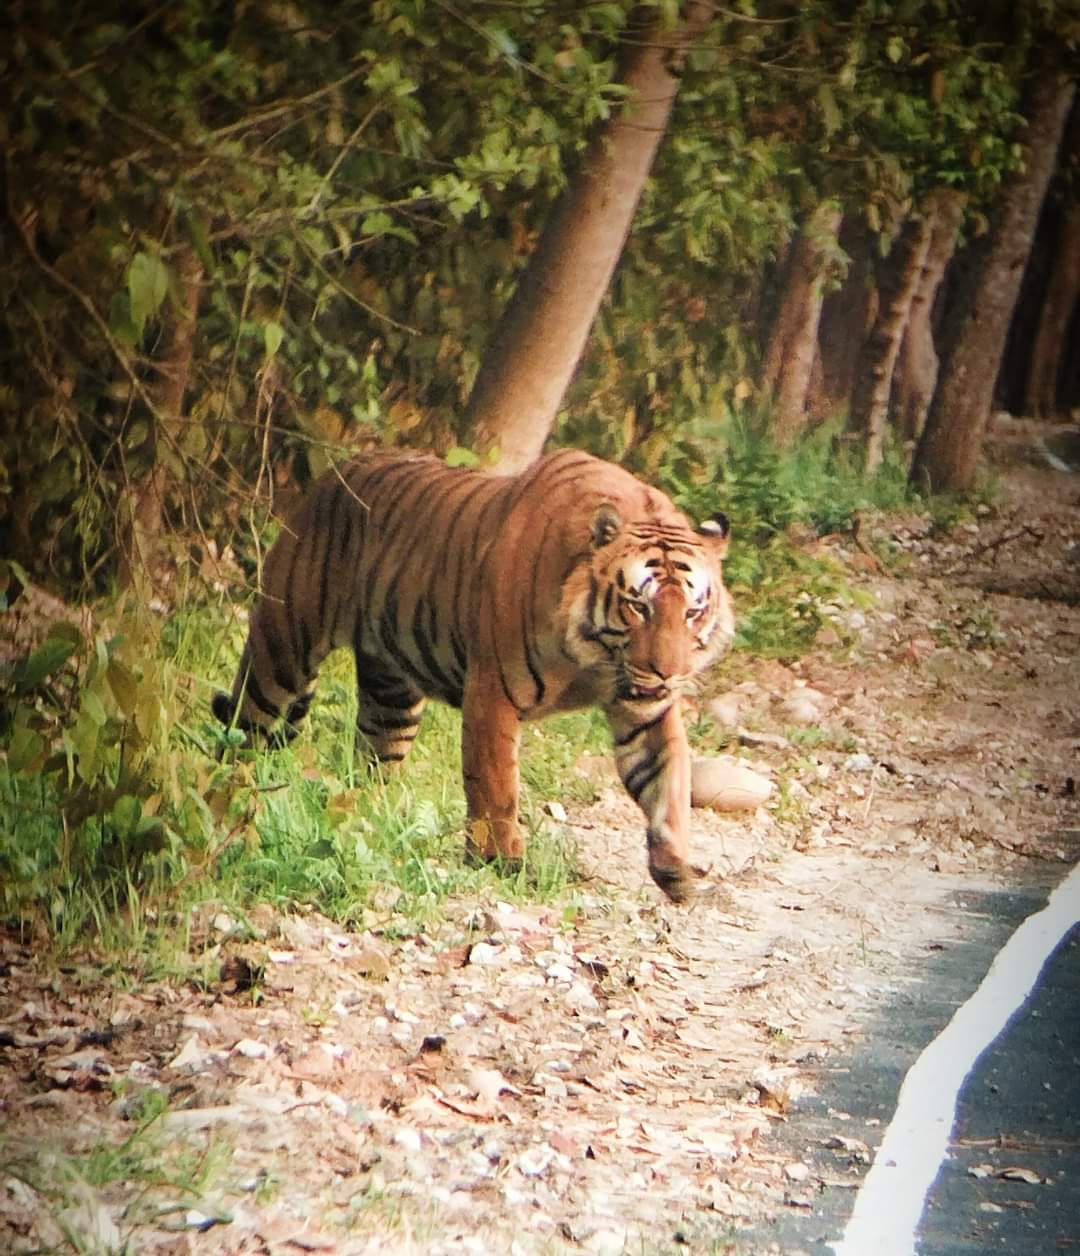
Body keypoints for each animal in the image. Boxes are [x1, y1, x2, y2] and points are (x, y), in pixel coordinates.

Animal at [212, 448, 734, 902]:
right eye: (638, 606)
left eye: (692, 611)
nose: (668, 673)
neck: (595, 657)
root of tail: (331, 474)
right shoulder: (493, 693)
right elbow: (495, 789)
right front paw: (501, 862)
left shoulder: (646, 712)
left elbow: (670, 784)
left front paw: (676, 868)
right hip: (283, 649)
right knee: (243, 730)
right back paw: (226, 801)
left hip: (392, 695)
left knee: (369, 763)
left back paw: (360, 820)